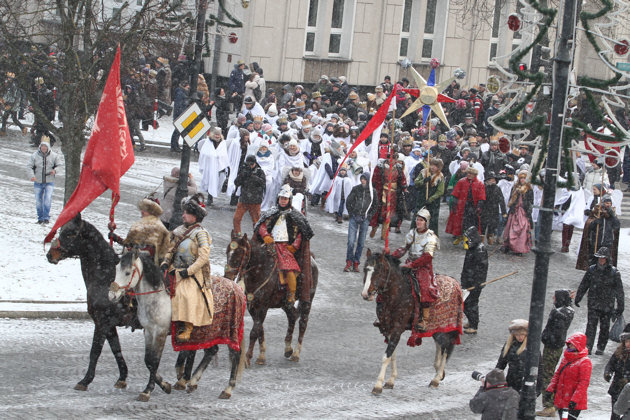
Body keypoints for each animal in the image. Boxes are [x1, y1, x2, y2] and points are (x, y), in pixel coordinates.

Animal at [47, 215, 139, 392]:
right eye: (61, 231)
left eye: (71, 233)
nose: (50, 254)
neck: (105, 277)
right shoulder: (108, 325)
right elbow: (116, 349)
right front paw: (122, 377)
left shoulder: (102, 322)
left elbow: (95, 351)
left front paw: (85, 380)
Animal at [225, 231, 318, 366]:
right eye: (227, 252)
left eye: (239, 254)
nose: (227, 276)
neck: (260, 271)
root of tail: (312, 259)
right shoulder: (252, 307)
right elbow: (260, 330)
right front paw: (261, 356)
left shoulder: (262, 307)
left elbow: (254, 331)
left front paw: (247, 357)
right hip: (285, 303)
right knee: (292, 316)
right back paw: (288, 349)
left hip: (307, 299)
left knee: (303, 322)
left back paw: (296, 353)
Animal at [360, 248, 464, 392]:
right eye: (365, 269)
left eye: (378, 271)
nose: (366, 294)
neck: (397, 294)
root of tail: (454, 282)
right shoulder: (388, 329)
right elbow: (392, 355)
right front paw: (391, 380)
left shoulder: (397, 329)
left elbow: (386, 356)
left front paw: (378, 385)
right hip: (437, 328)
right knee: (440, 345)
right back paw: (438, 370)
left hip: (448, 328)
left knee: (446, 348)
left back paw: (436, 378)